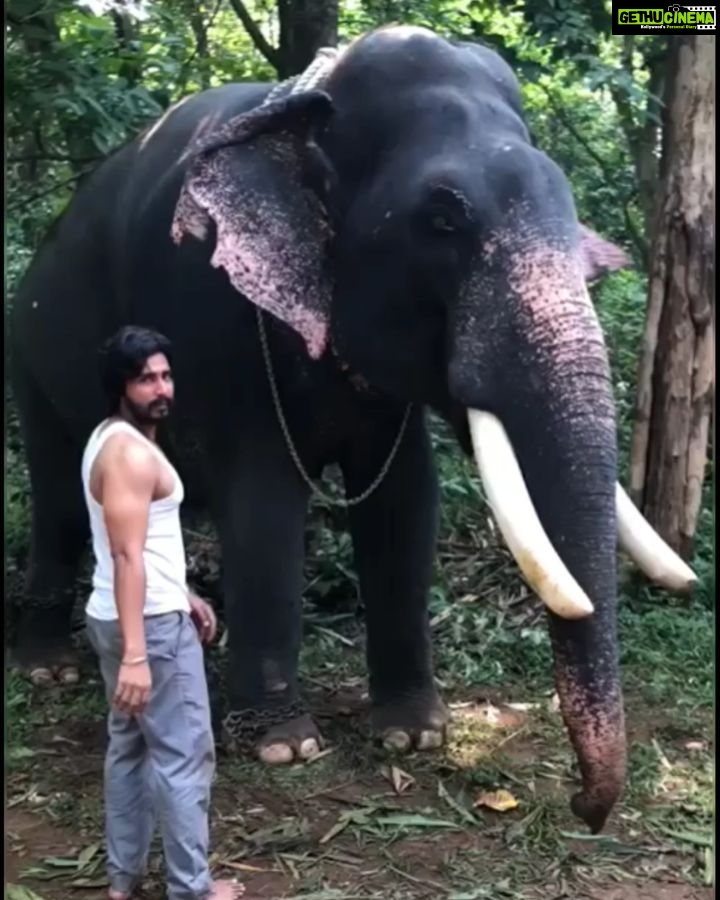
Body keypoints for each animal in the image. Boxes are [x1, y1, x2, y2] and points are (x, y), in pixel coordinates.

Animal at [8, 24, 696, 832]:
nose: (586, 811)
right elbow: (266, 505)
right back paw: (48, 668)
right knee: (58, 491)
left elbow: (405, 502)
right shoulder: (213, 313)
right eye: (443, 220)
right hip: (31, 346)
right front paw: (286, 746)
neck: (309, 101)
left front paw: (416, 734)